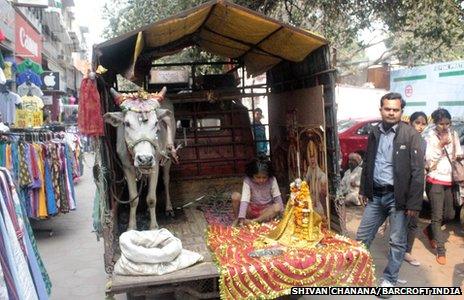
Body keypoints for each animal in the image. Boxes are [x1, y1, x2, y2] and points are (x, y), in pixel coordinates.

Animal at [104, 86, 178, 230]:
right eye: (126, 123)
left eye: (156, 123)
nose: (145, 159)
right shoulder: (127, 167)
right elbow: (134, 199)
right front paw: (131, 227)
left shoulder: (154, 166)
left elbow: (151, 199)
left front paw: (153, 226)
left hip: (167, 156)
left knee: (166, 180)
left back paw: (169, 207)